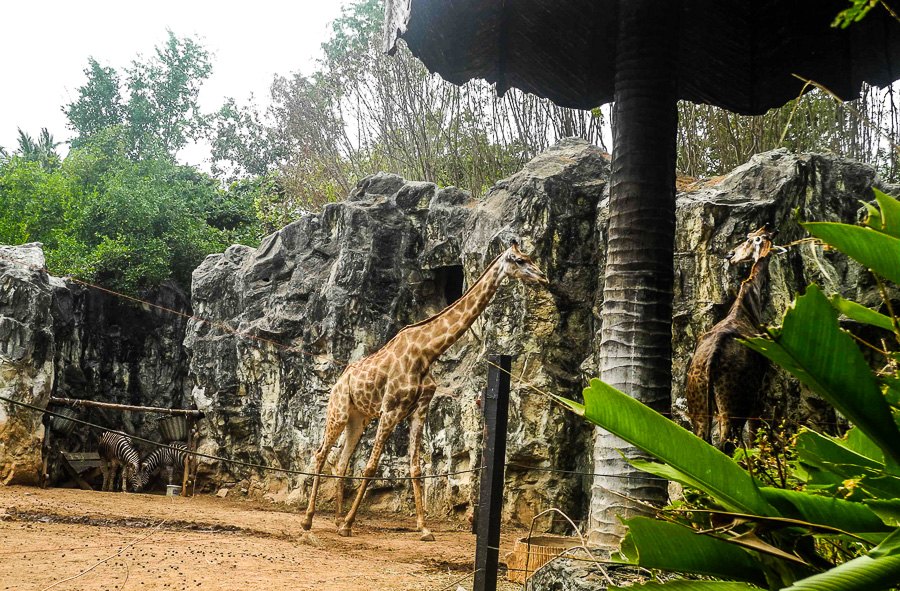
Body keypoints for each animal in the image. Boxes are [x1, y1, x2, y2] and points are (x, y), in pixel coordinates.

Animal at [301, 241, 548, 541]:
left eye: (530, 258)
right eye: (520, 260)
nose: (543, 278)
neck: (428, 352)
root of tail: (339, 381)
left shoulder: (419, 409)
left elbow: (417, 468)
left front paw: (423, 527)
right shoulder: (391, 408)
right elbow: (371, 466)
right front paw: (350, 523)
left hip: (358, 419)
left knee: (340, 461)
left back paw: (335, 520)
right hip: (338, 411)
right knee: (320, 455)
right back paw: (309, 521)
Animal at [685, 226, 781, 452]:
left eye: (749, 240)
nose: (731, 255)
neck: (747, 304)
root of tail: (710, 362)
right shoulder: (758, 394)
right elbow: (755, 439)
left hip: (699, 406)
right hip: (735, 403)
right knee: (727, 445)